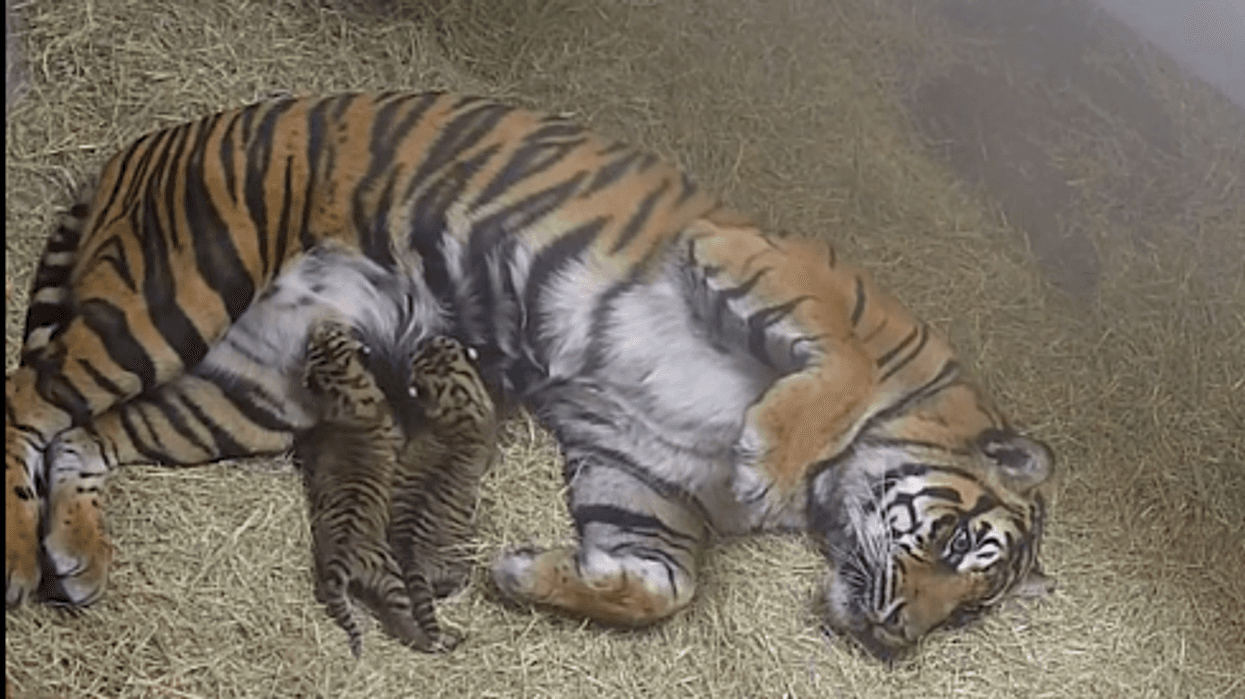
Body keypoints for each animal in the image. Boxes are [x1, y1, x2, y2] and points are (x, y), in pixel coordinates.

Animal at [297, 318, 452, 657]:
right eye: (332, 332)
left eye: (325, 337)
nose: (316, 323)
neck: (346, 390)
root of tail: (340, 560)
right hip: (390, 576)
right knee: (405, 622)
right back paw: (439, 640)